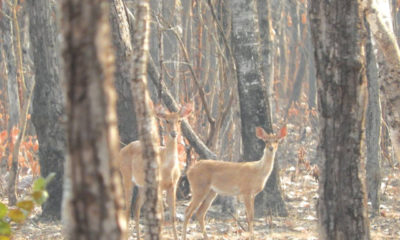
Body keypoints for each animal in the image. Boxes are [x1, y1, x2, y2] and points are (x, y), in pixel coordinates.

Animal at [116, 103, 193, 240]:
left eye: (179, 120)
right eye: (166, 120)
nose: (174, 133)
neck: (168, 168)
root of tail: (121, 151)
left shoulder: (173, 185)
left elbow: (172, 216)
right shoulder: (159, 185)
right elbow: (161, 216)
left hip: (142, 185)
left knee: (136, 207)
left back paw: (139, 237)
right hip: (126, 176)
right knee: (127, 208)